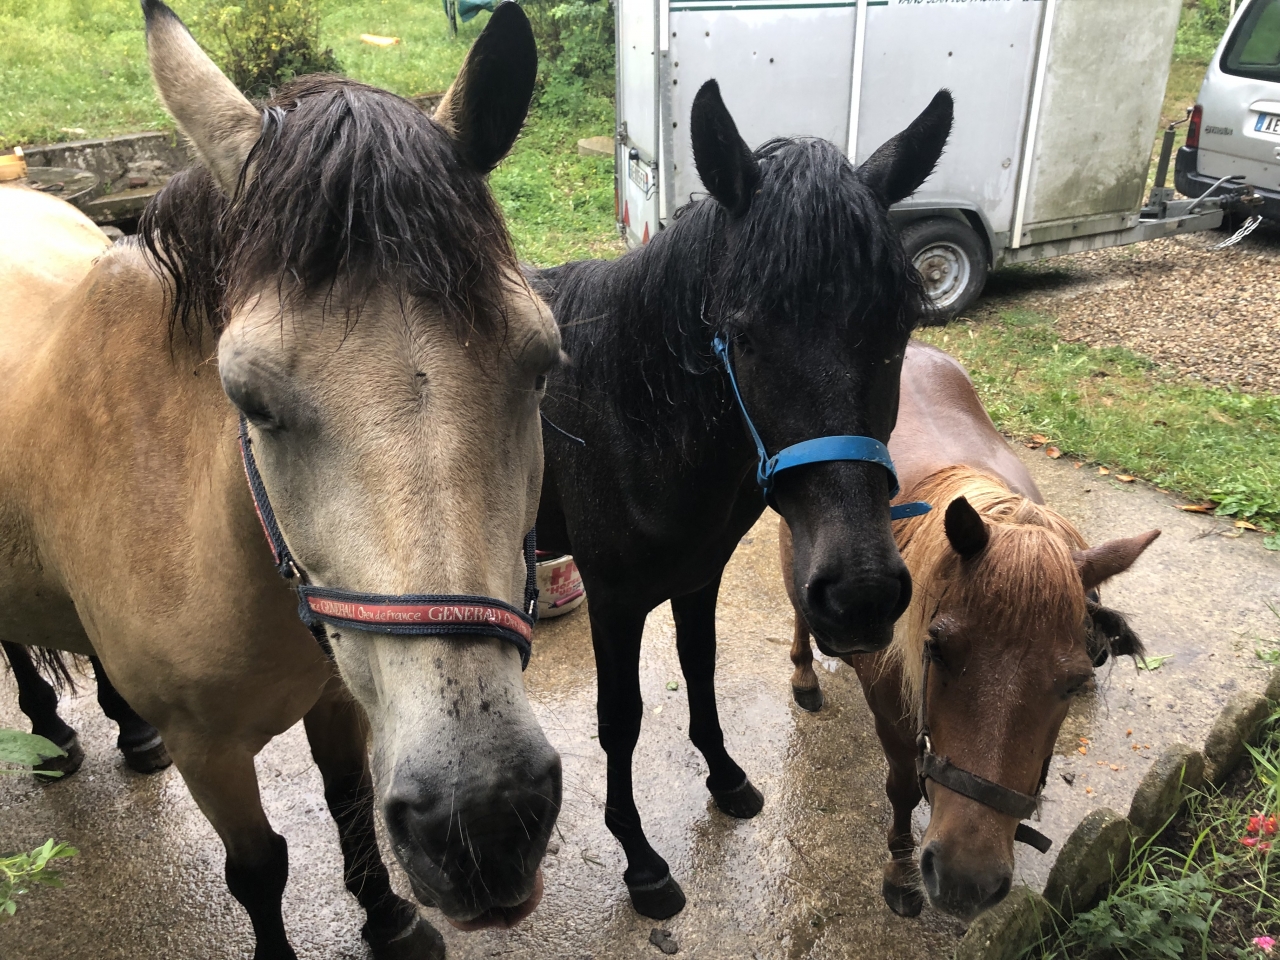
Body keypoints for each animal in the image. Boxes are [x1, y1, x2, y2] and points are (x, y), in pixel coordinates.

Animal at [0, 3, 562, 957]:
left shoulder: (342, 688)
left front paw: (388, 918)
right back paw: (50, 730)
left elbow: (347, 804)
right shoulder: (211, 754)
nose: (484, 818)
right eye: (247, 398)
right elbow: (260, 869)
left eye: (540, 364)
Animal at [528, 80, 954, 919]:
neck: (623, 413)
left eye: (898, 327)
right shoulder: (615, 600)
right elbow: (620, 719)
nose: (859, 594)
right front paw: (641, 861)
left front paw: (724, 778)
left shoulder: (698, 577)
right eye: (745, 336)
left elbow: (700, 667)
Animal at [781, 341, 1159, 921]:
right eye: (935, 649)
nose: (967, 880)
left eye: (1075, 682)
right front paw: (899, 871)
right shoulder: (892, 715)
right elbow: (902, 788)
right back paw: (806, 670)